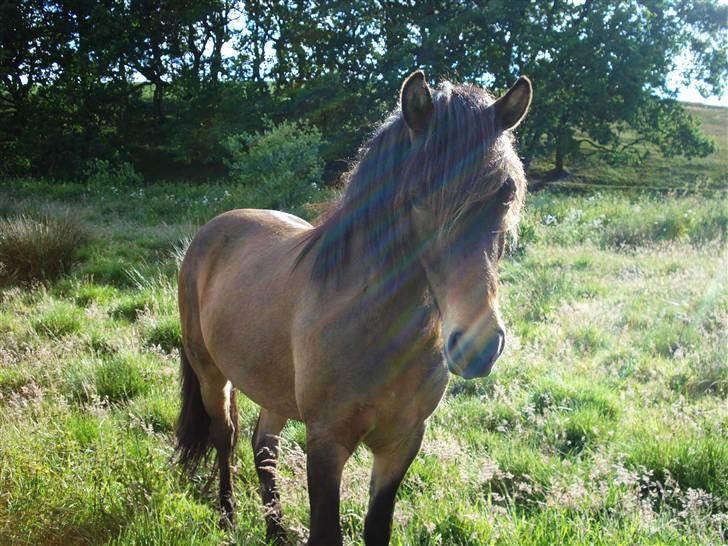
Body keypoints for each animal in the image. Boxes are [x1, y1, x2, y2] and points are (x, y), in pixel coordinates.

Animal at [174, 70, 532, 540]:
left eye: (506, 194)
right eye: (417, 196)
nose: (477, 347)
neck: (374, 330)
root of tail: (212, 229)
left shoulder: (402, 443)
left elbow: (377, 527)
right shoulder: (326, 443)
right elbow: (327, 532)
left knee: (263, 446)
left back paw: (275, 532)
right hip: (211, 375)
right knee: (225, 436)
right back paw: (228, 517)